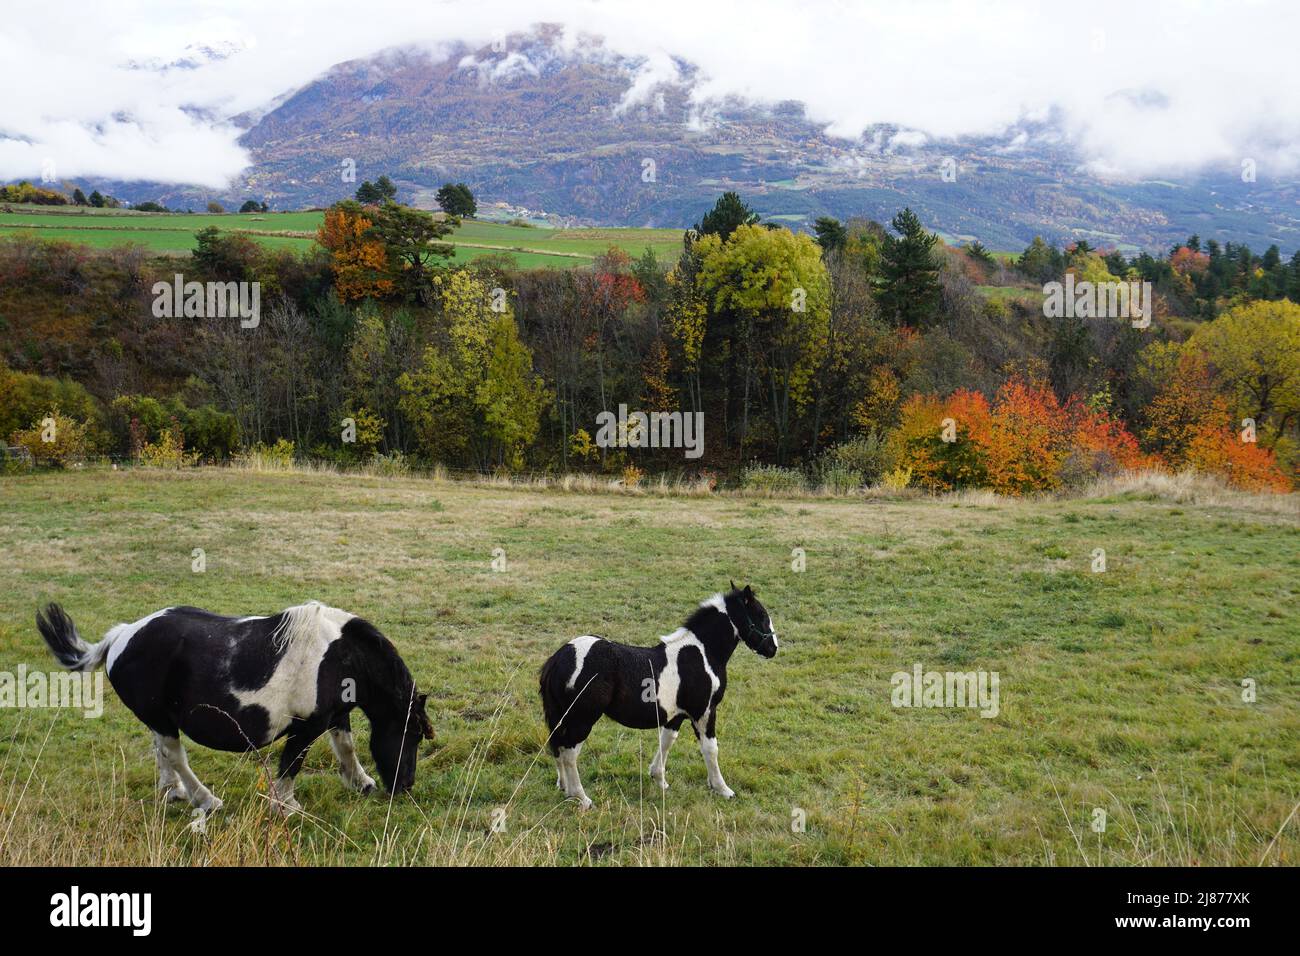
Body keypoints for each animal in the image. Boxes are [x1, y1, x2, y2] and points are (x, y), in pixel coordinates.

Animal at [36, 601, 434, 815]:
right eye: (412, 734)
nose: (405, 786)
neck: (339, 656)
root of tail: (122, 635)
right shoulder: (307, 725)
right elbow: (292, 763)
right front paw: (286, 806)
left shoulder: (336, 715)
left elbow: (346, 747)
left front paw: (361, 781)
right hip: (161, 718)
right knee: (175, 754)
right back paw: (205, 799)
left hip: (157, 718)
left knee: (161, 752)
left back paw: (172, 792)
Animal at [538, 583, 778, 809]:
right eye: (762, 615)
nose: (773, 648)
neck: (702, 654)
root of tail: (558, 658)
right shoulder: (704, 711)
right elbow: (711, 749)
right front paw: (723, 789)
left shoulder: (676, 715)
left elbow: (667, 740)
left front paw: (659, 779)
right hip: (582, 719)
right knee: (569, 753)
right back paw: (582, 797)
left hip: (564, 717)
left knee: (557, 746)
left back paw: (564, 787)